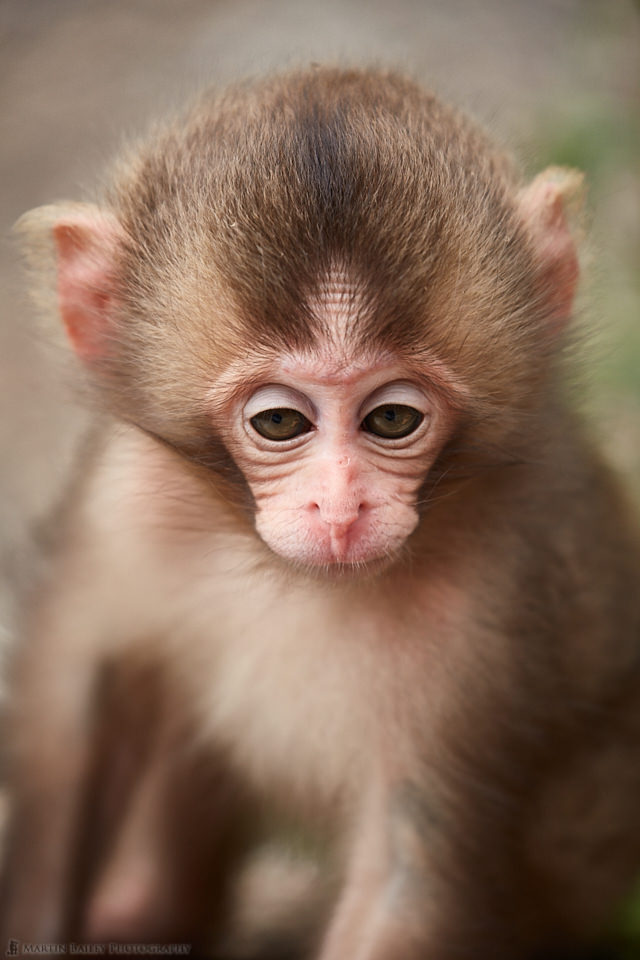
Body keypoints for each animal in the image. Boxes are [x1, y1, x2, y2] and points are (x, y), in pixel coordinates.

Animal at [1, 67, 640, 960]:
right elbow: (72, 724)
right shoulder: (123, 503)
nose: (339, 509)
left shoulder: (496, 591)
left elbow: (409, 866)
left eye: (392, 419)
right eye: (279, 422)